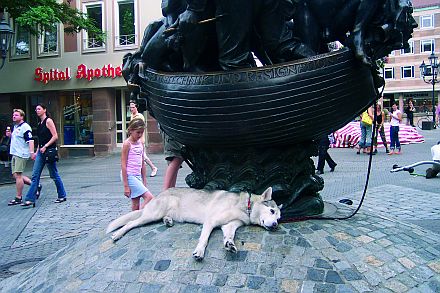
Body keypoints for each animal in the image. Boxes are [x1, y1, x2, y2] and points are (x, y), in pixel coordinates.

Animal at [105, 186, 282, 258]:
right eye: (272, 211)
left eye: (279, 218)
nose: (275, 226)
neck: (246, 207)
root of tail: (160, 194)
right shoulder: (211, 221)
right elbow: (204, 240)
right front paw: (199, 252)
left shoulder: (229, 225)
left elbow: (229, 235)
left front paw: (229, 244)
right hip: (151, 215)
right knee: (130, 223)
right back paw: (118, 234)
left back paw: (168, 220)